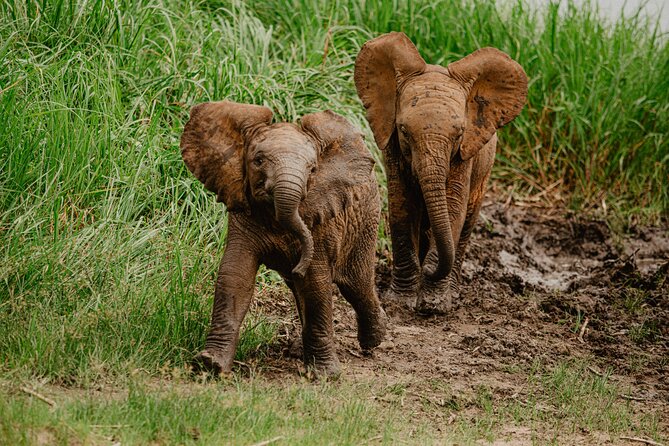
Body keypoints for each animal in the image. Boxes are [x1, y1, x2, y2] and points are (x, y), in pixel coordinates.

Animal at [180, 100, 386, 376]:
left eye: (312, 169)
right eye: (257, 161)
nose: (298, 265)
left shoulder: (322, 223)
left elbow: (317, 285)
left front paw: (325, 375)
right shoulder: (242, 211)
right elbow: (235, 276)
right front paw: (210, 364)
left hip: (366, 220)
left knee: (356, 283)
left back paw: (372, 341)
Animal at [354, 32, 527, 314]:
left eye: (459, 134)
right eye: (404, 131)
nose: (429, 268)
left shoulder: (465, 153)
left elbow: (453, 207)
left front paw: (433, 306)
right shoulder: (392, 144)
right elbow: (401, 206)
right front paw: (400, 301)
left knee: (467, 222)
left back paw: (452, 291)